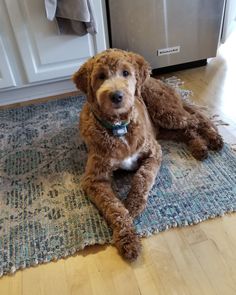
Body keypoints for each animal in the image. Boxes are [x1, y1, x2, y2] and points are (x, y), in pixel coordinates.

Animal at [73, 48, 223, 262]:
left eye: (126, 73)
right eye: (100, 76)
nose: (116, 96)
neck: (119, 128)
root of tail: (157, 80)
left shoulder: (154, 151)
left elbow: (142, 178)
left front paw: (133, 205)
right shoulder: (94, 179)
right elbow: (113, 206)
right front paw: (127, 238)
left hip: (165, 111)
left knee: (197, 119)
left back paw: (214, 138)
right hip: (164, 127)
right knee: (187, 130)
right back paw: (199, 148)